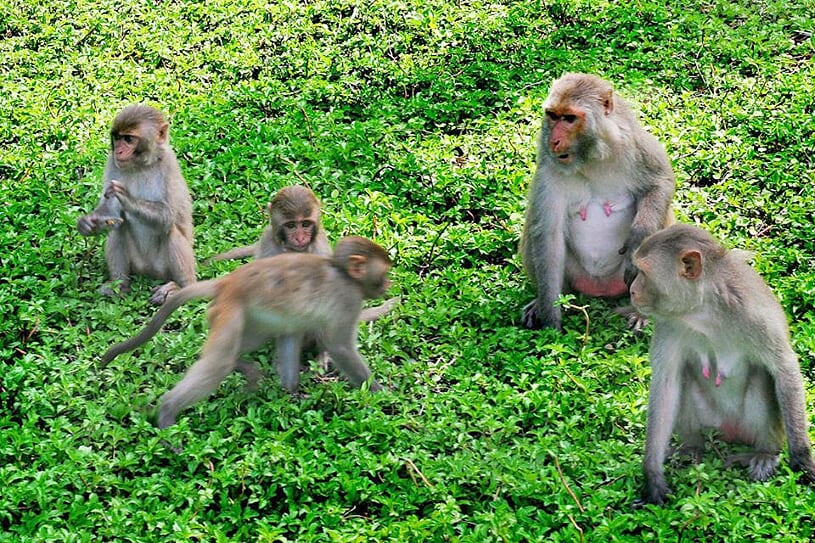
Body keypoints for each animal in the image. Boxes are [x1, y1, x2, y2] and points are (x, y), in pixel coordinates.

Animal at [77, 104, 196, 305]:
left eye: (129, 139)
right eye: (117, 138)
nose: (118, 151)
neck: (142, 165)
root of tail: (149, 272)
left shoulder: (169, 164)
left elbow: (168, 216)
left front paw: (125, 197)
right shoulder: (112, 162)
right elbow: (111, 212)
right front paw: (88, 223)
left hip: (163, 268)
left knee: (170, 230)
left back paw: (181, 289)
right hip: (137, 264)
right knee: (118, 227)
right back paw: (119, 287)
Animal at [101, 236, 392, 428]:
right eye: (384, 272)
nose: (388, 284)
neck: (344, 274)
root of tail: (228, 282)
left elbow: (295, 333)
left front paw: (292, 390)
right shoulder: (348, 300)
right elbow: (340, 347)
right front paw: (383, 394)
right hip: (230, 309)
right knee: (219, 361)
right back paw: (167, 409)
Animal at [519, 73, 675, 330]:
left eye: (569, 118)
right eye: (552, 115)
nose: (554, 141)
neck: (590, 158)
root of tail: (600, 289)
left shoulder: (634, 144)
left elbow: (659, 183)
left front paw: (637, 238)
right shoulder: (549, 169)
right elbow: (549, 236)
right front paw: (551, 323)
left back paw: (640, 312)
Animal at [629, 223, 815, 506]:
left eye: (642, 272)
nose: (632, 290)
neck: (703, 310)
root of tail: (729, 431)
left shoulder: (754, 316)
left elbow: (784, 368)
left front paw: (802, 459)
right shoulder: (669, 323)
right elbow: (666, 383)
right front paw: (652, 473)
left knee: (762, 377)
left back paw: (764, 453)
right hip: (710, 421)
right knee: (683, 378)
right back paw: (692, 447)